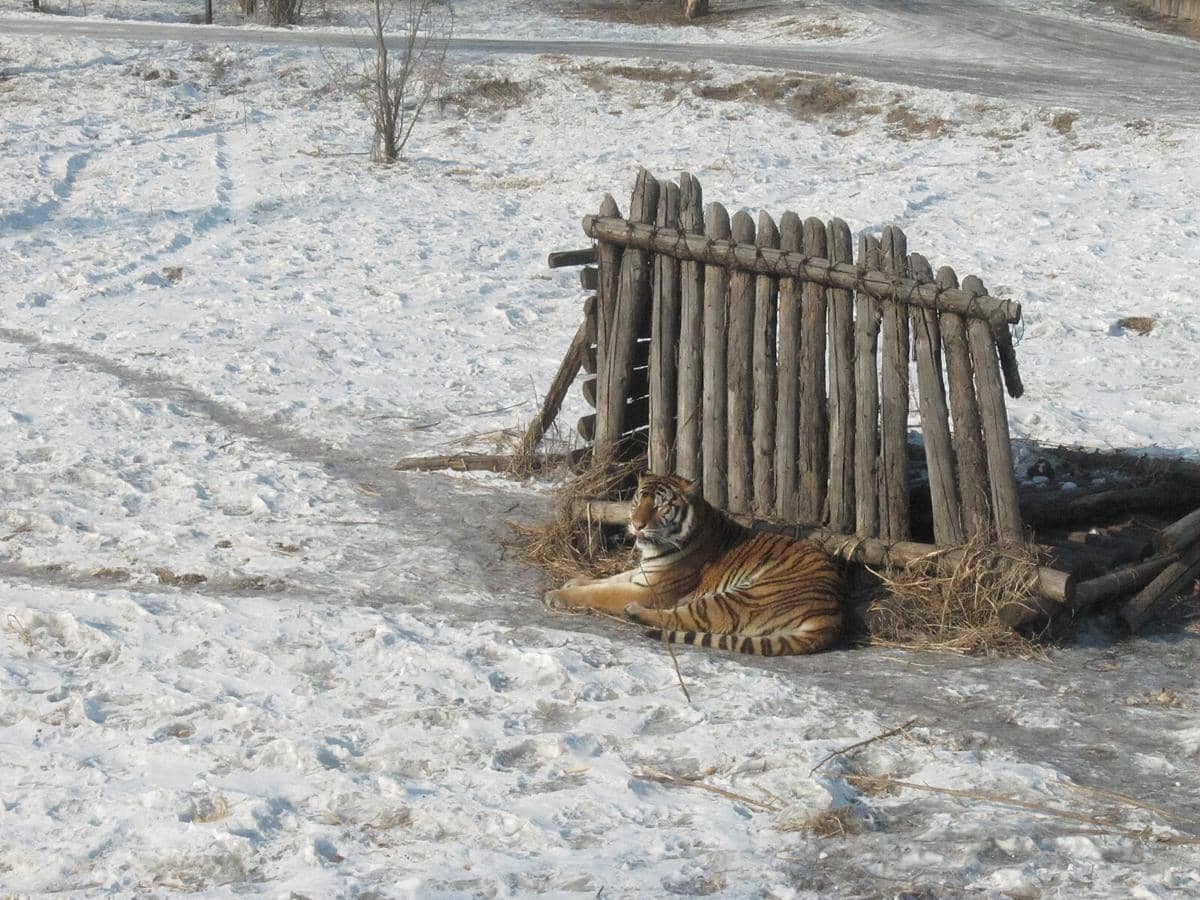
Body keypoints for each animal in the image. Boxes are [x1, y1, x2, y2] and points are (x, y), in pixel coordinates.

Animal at [543, 472, 844, 656]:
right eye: (638, 501)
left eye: (660, 507)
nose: (636, 525)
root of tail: (831, 616)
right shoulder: (643, 573)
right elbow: (608, 579)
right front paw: (573, 581)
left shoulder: (653, 590)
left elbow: (603, 592)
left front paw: (557, 594)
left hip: (741, 597)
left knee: (681, 618)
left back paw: (633, 611)